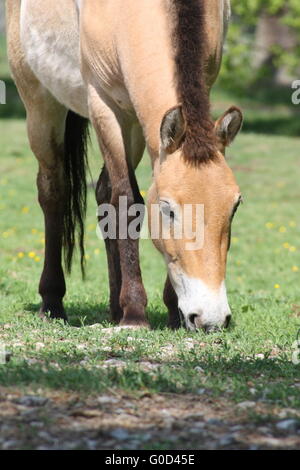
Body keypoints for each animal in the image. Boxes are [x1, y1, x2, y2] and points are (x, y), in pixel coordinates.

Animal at [6, 0, 244, 332]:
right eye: (168, 210)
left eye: (234, 207)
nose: (211, 318)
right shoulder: (104, 106)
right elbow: (127, 204)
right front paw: (134, 314)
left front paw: (171, 313)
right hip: (41, 106)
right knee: (53, 192)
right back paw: (52, 303)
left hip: (132, 126)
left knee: (103, 193)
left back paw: (113, 308)